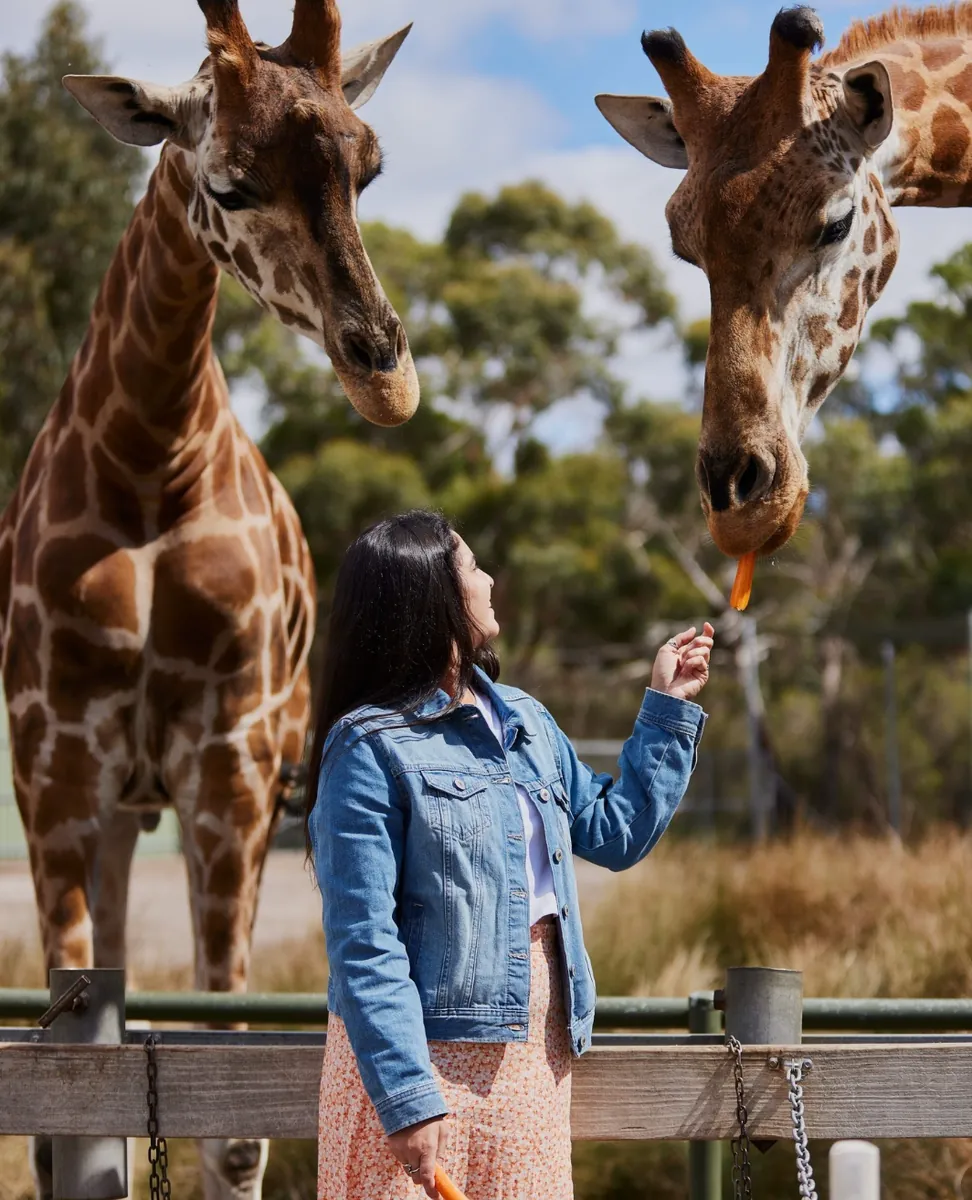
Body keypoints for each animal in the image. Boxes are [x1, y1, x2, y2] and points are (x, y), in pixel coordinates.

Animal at [2, 2, 417, 1197]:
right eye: (228, 184)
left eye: (370, 166)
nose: (384, 371)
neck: (152, 465)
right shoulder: (56, 765)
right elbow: (63, 1120)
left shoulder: (228, 769)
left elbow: (232, 1119)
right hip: (113, 807)